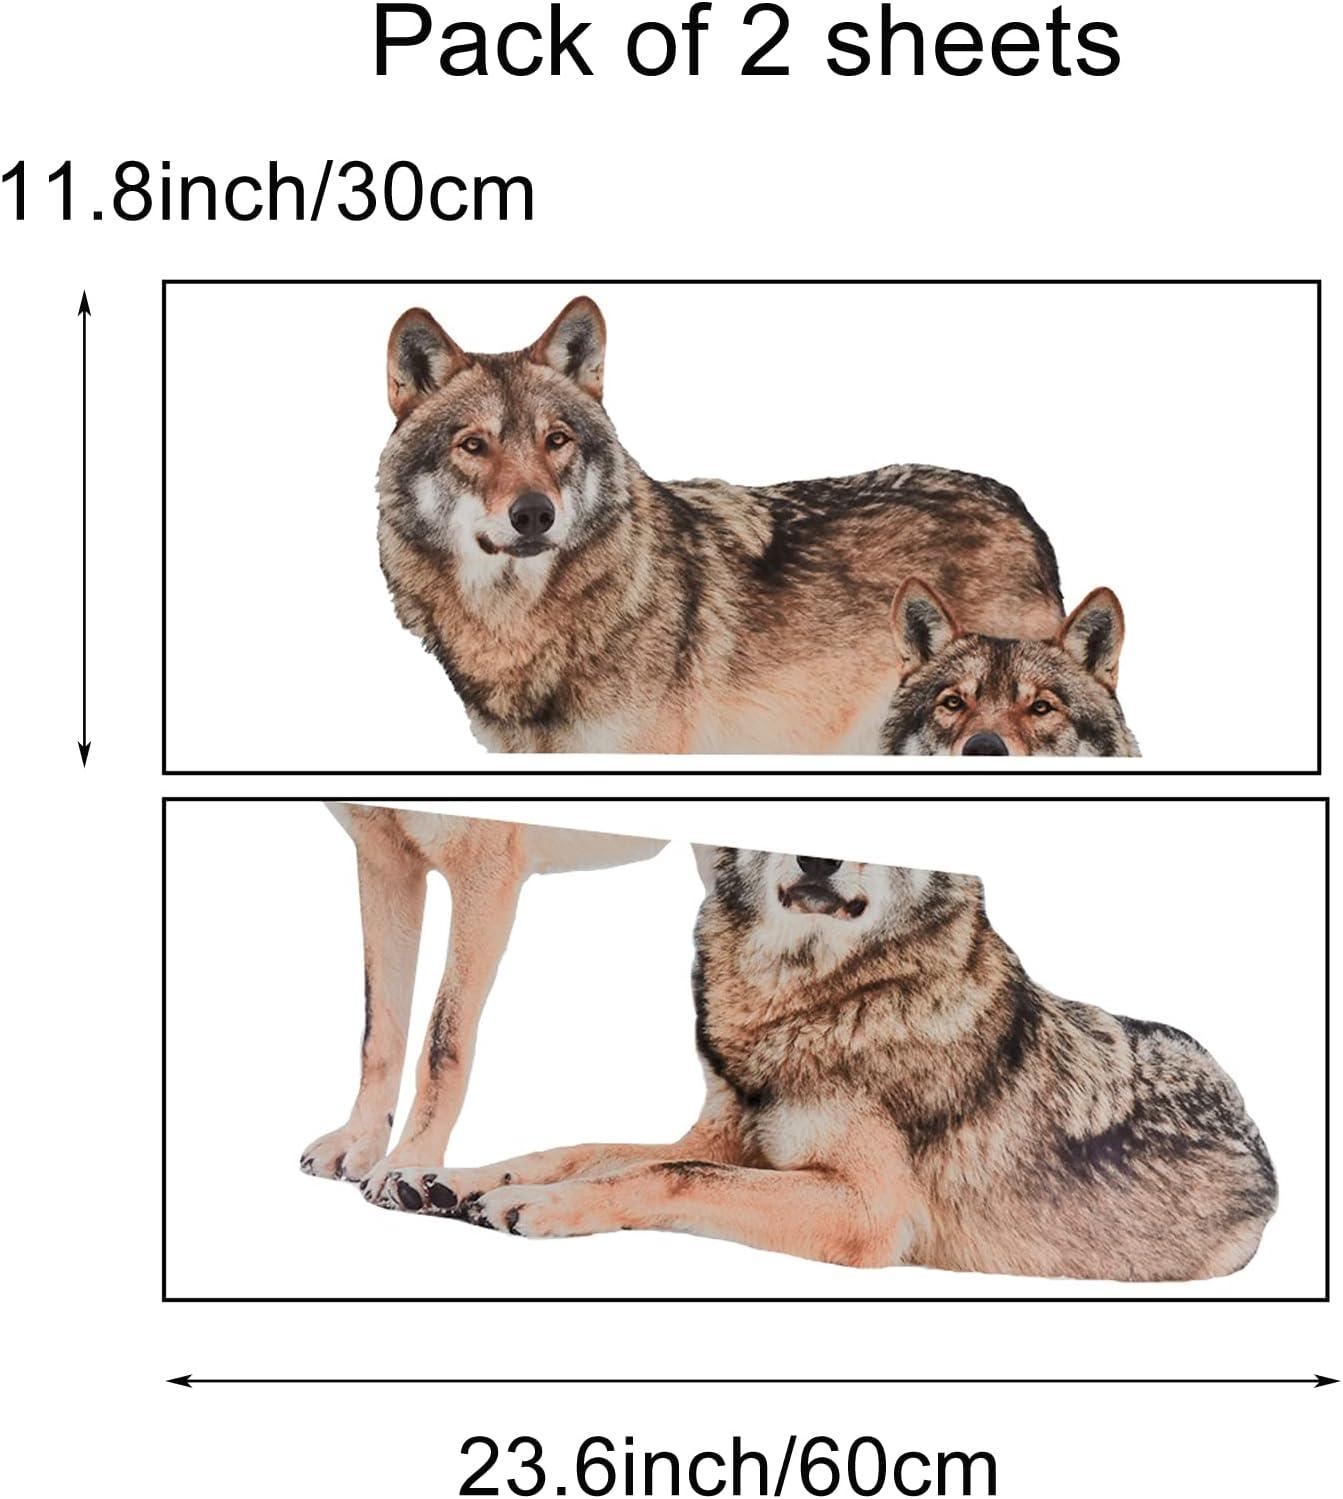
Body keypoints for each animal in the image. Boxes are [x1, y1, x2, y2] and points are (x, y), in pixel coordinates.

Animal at [299, 804, 665, 1194]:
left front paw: (410, 1159)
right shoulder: (385, 863)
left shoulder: (484, 876)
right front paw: (359, 1139)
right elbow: (378, 1032)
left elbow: (441, 1044)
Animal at [370, 849, 1276, 1281]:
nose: (817, 855)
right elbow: (584, 1148)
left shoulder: (867, 1208)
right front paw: (447, 1178)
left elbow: (669, 1174)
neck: (813, 1001)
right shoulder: (728, 1132)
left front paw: (538, 1205)